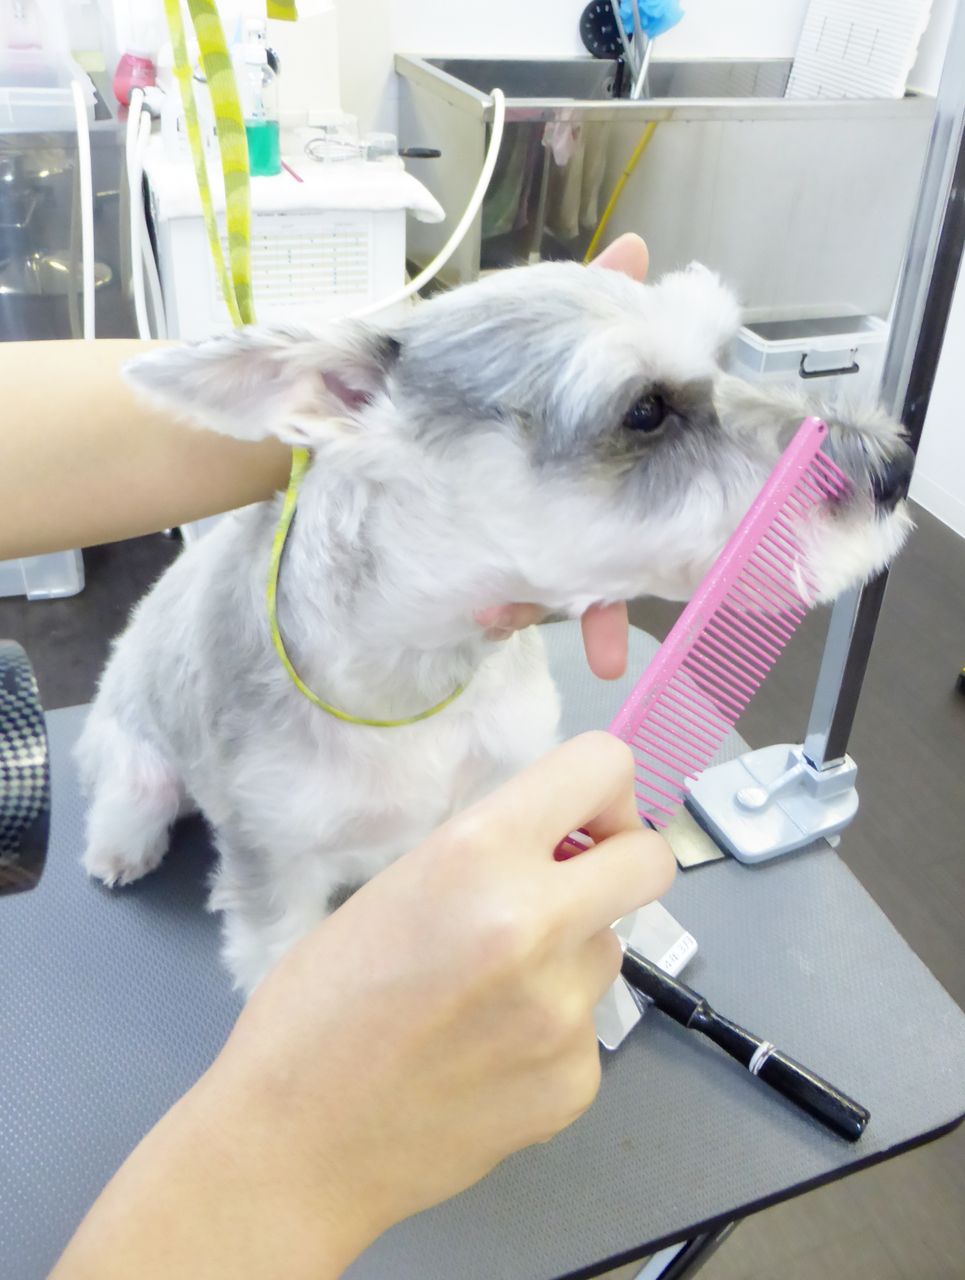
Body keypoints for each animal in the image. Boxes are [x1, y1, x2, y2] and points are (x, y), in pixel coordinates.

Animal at [77, 262, 913, 993]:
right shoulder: (275, 866)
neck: (419, 670)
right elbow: (281, 966)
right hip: (136, 751)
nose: (894, 470)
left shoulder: (501, 781)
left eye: (722, 356)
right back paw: (120, 847)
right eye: (644, 410)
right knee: (129, 794)